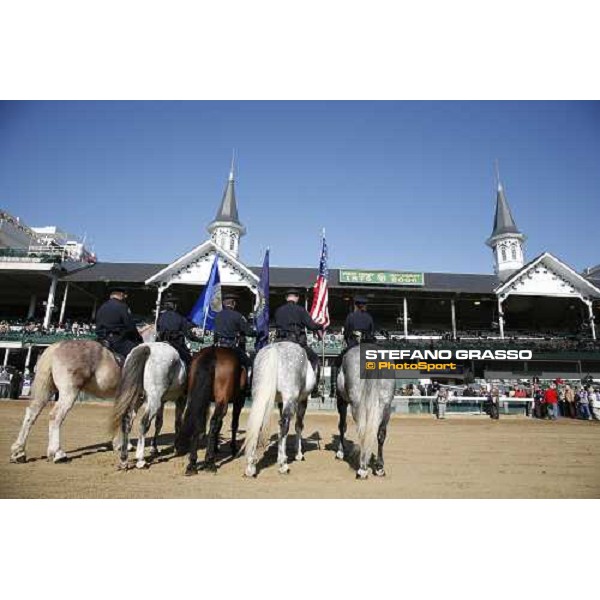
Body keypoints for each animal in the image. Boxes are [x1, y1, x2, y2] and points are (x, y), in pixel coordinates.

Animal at [110, 336, 188, 472]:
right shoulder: (181, 399)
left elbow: (159, 423)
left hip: (138, 399)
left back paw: (124, 459)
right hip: (153, 400)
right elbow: (177, 423)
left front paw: (154, 448)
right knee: (144, 423)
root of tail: (147, 348)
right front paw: (177, 447)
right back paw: (140, 459)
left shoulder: (162, 401)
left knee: (127, 421)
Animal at [173, 346, 246, 474]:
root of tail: (213, 352)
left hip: (197, 396)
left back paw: (192, 463)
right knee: (214, 422)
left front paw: (216, 447)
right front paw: (233, 448)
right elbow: (233, 425)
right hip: (223, 400)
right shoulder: (239, 401)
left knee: (198, 421)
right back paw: (209, 462)